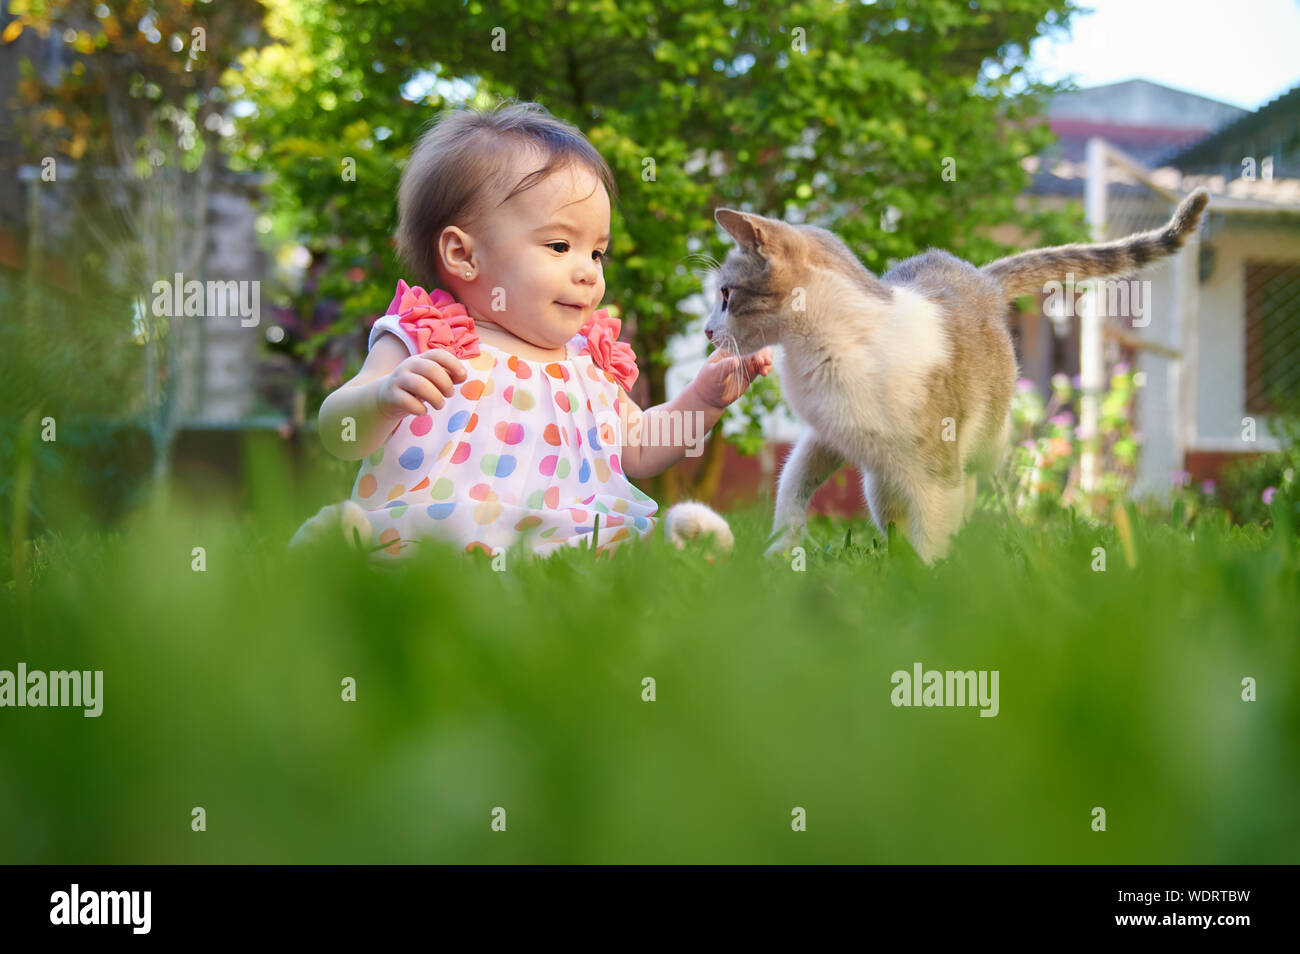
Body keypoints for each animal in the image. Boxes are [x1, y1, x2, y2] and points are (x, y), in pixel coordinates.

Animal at [707, 187, 1211, 564]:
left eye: (726, 295)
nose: (709, 331)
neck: (827, 346)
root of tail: (979, 277)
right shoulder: (827, 436)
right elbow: (791, 487)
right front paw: (779, 557)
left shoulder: (933, 467)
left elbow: (933, 531)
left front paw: (927, 586)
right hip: (880, 481)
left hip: (983, 442)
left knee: (976, 483)